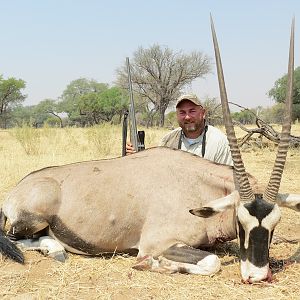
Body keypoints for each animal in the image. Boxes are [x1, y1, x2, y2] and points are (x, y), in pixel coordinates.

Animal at [0, 19, 298, 284]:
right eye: (240, 221)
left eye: (275, 225)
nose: (256, 276)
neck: (198, 186)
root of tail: (16, 190)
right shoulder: (158, 242)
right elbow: (211, 262)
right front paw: (155, 265)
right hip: (31, 220)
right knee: (18, 238)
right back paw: (56, 250)